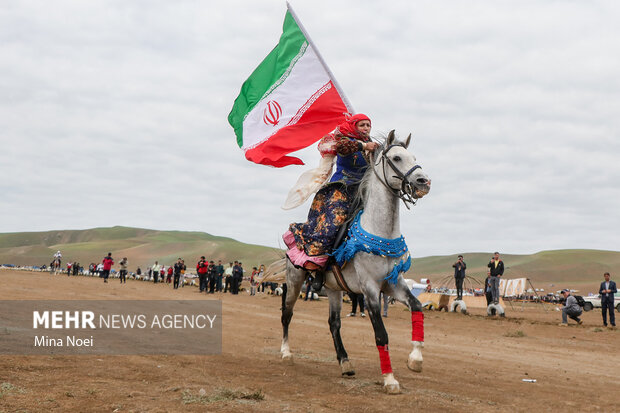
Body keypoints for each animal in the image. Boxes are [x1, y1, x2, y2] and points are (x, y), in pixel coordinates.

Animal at [280, 131, 432, 392]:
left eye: (414, 157)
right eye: (397, 157)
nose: (423, 182)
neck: (380, 231)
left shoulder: (393, 284)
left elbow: (417, 307)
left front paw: (416, 360)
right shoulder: (369, 288)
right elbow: (381, 334)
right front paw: (390, 380)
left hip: (333, 289)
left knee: (333, 323)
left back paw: (345, 362)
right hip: (295, 279)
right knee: (287, 314)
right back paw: (286, 354)